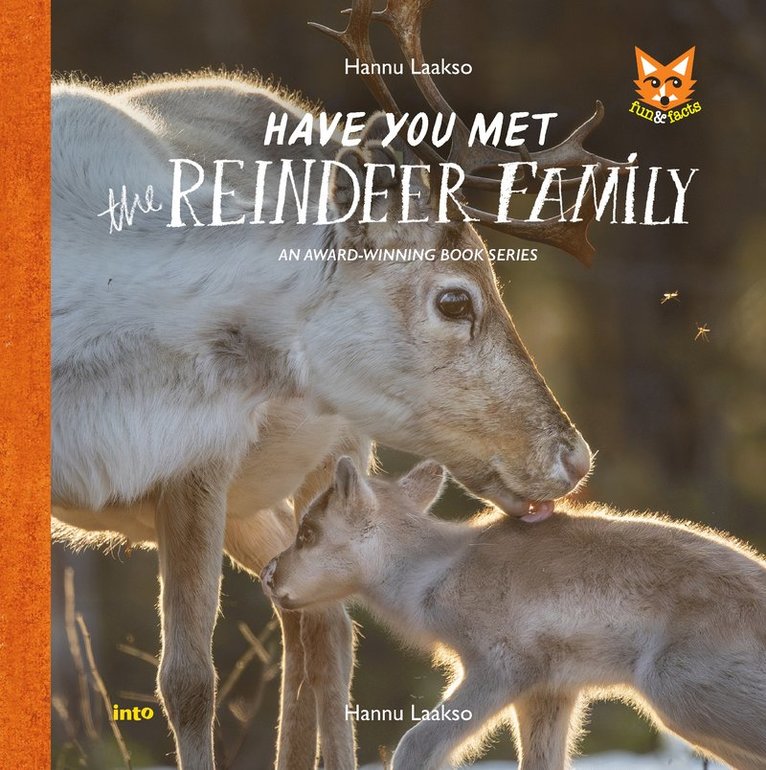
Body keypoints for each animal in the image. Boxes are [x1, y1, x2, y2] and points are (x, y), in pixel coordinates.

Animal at [51, 1, 625, 768]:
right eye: (455, 300)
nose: (573, 456)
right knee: (299, 612)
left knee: (328, 629)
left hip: (329, 456)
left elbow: (189, 680)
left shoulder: (200, 462)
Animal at [264, 457, 766, 770]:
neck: (430, 575)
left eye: (308, 532)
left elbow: (415, 744)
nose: (269, 574)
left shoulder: (503, 668)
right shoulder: (550, 692)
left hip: (673, 688)